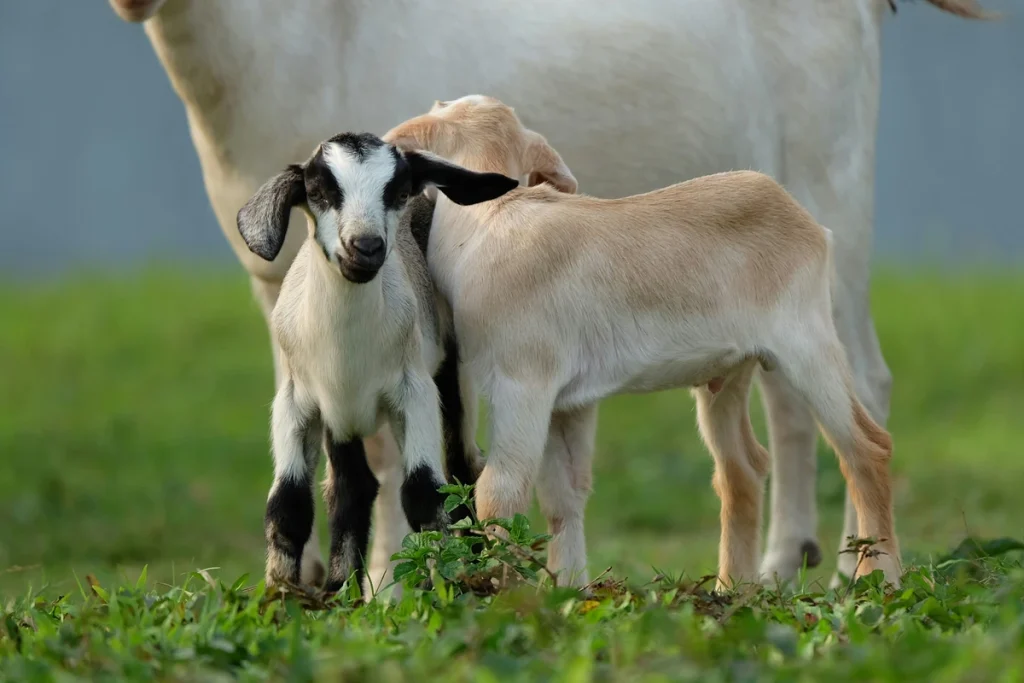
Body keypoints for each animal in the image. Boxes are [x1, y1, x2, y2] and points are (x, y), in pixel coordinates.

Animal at [108, 0, 987, 589]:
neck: (498, 220)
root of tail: (798, 216)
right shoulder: (568, 400)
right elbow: (562, 496)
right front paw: (567, 594)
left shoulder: (521, 383)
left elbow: (495, 491)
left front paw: (482, 594)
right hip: (728, 370)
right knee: (746, 466)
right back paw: (739, 588)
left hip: (814, 322)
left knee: (865, 437)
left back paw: (867, 579)